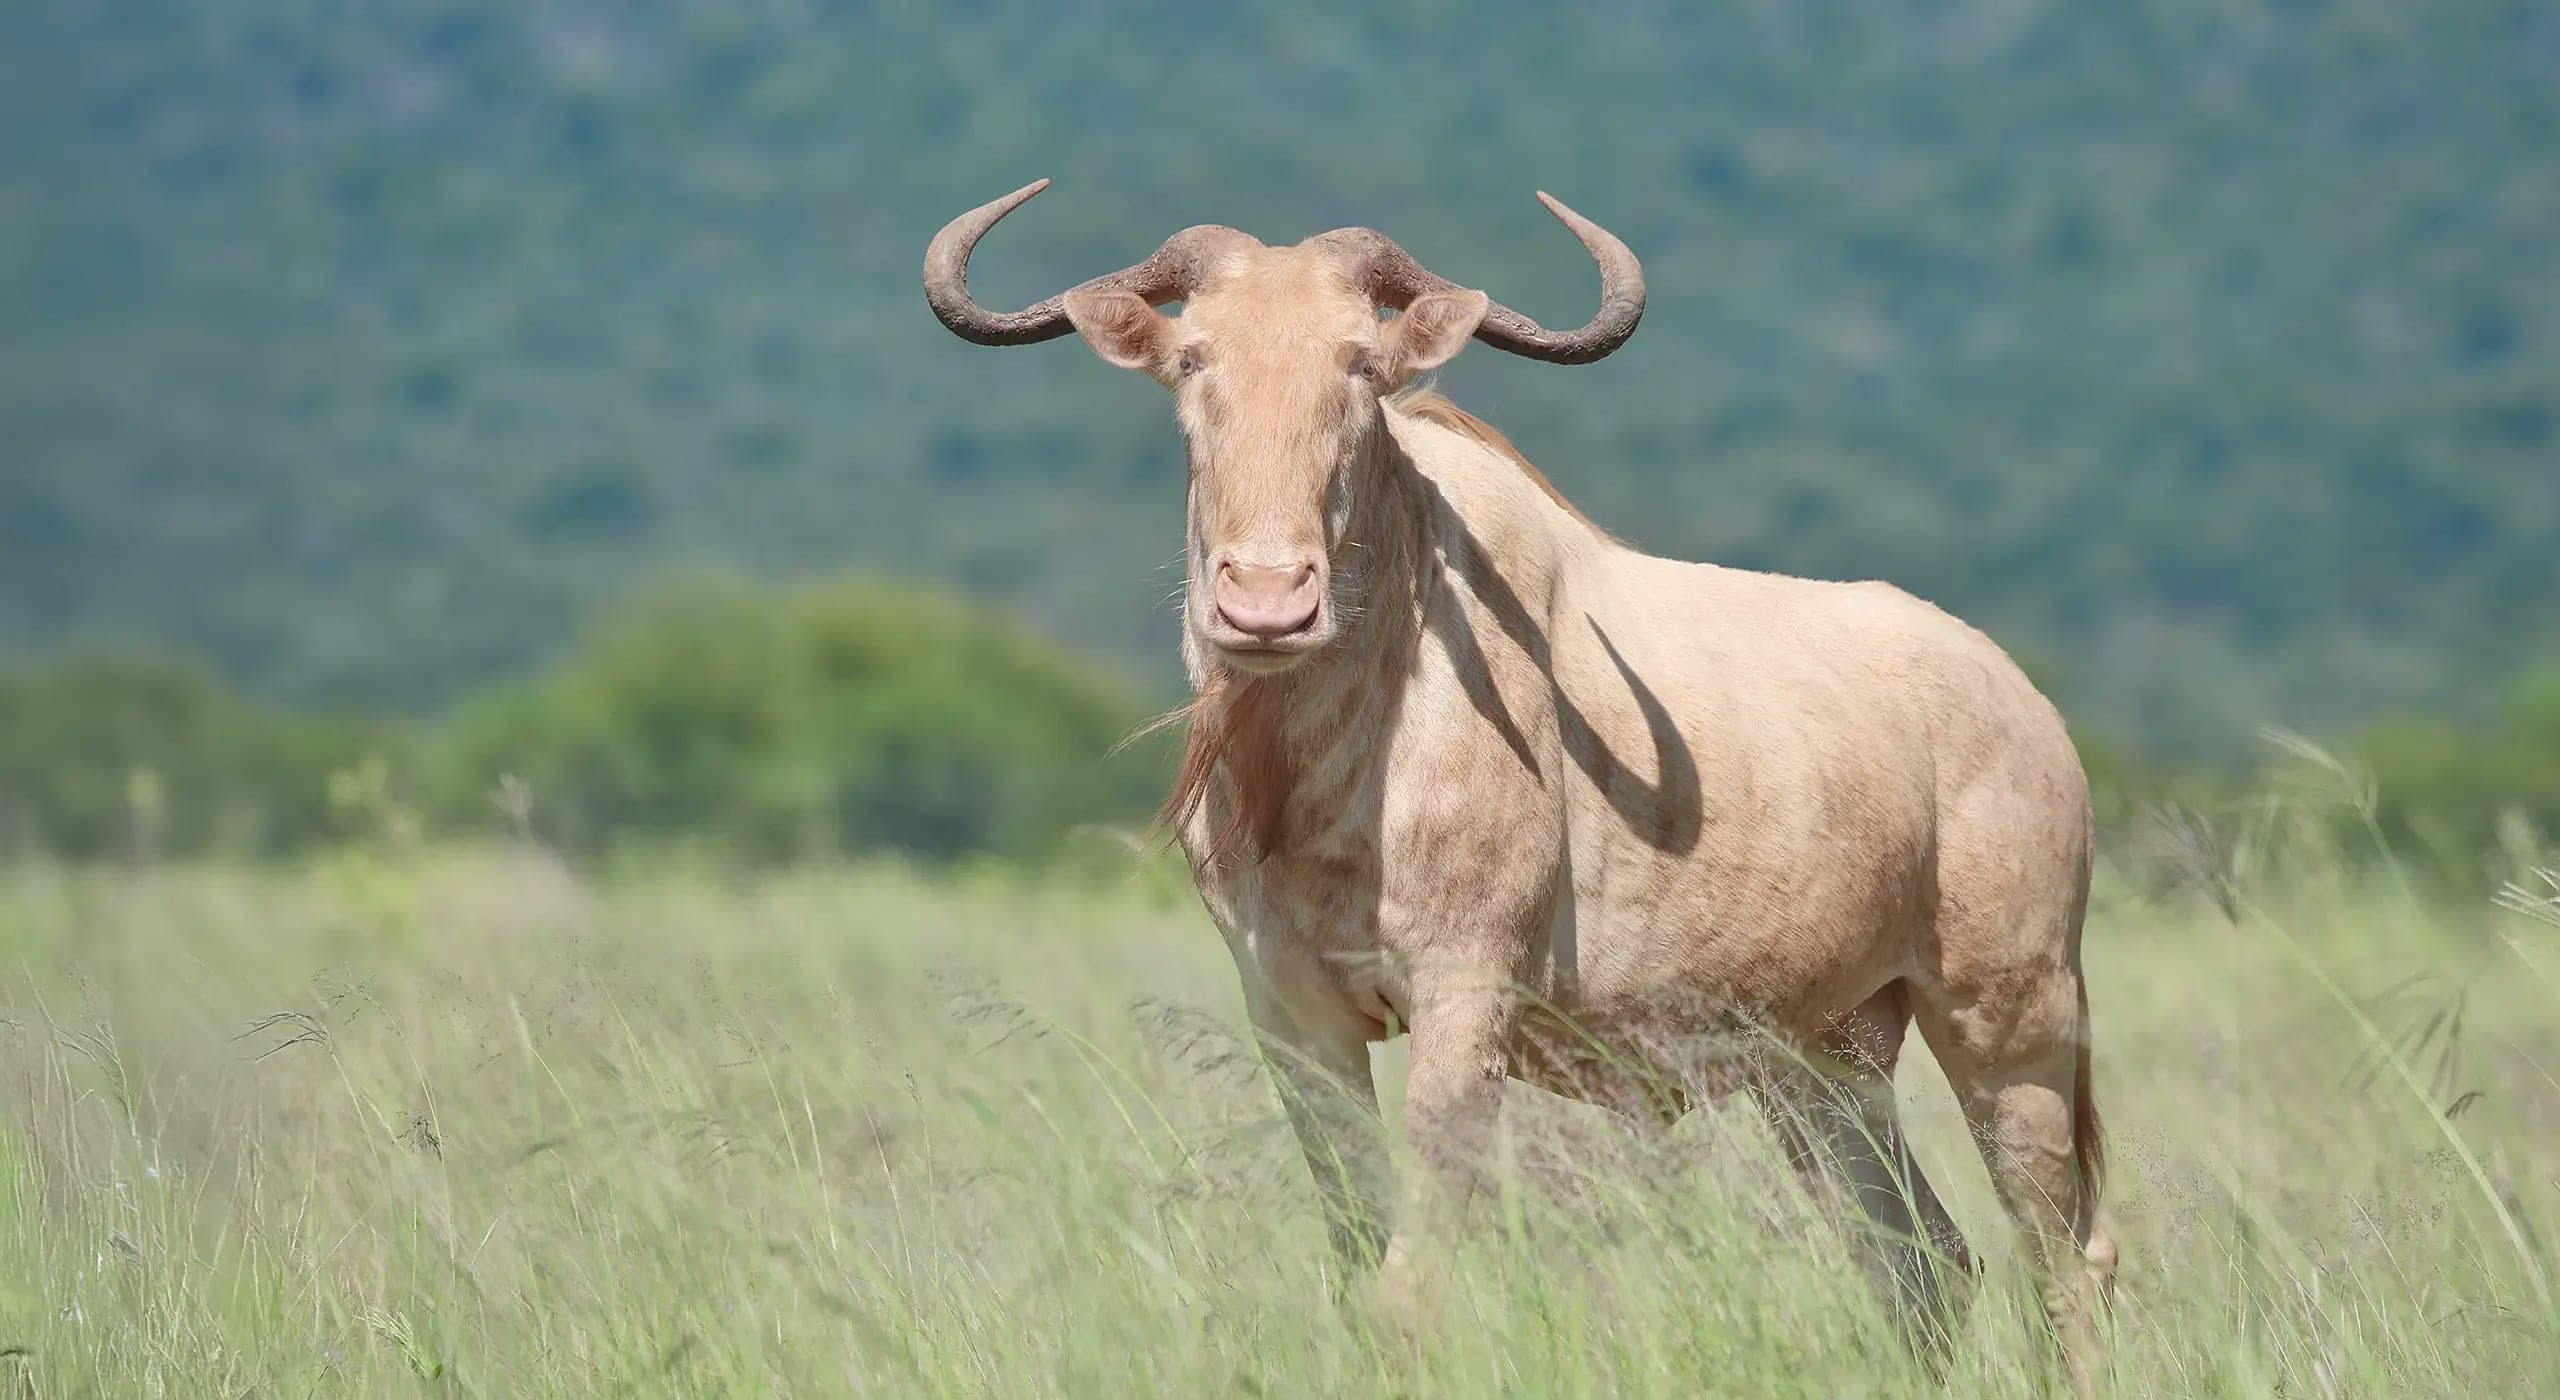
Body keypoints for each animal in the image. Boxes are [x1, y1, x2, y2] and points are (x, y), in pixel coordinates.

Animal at [924, 181, 2116, 1384]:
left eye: (1358, 362)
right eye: (1193, 358)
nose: (1265, 602)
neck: (1327, 766)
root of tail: (2031, 710)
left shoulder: (1465, 996)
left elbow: (1406, 1288)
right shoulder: (1293, 1016)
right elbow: (1352, 1258)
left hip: (2008, 1027)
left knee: (2067, 1262)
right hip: (1821, 1062)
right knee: (1924, 1264)